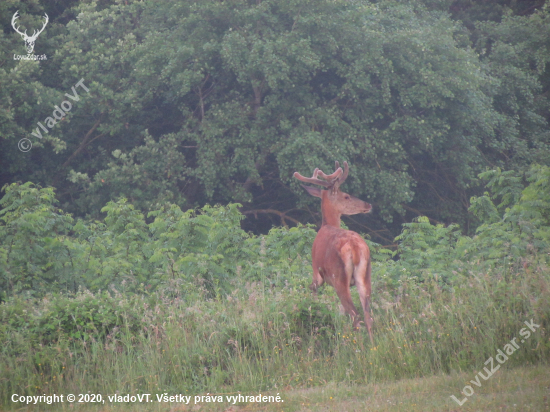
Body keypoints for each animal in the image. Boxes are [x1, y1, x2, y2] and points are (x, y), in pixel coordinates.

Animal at [294, 161, 376, 344]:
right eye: (346, 196)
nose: (368, 205)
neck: (327, 225)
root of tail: (355, 248)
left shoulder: (316, 272)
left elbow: (312, 292)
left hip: (339, 278)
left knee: (355, 315)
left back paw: (357, 346)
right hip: (365, 275)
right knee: (367, 315)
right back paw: (373, 346)